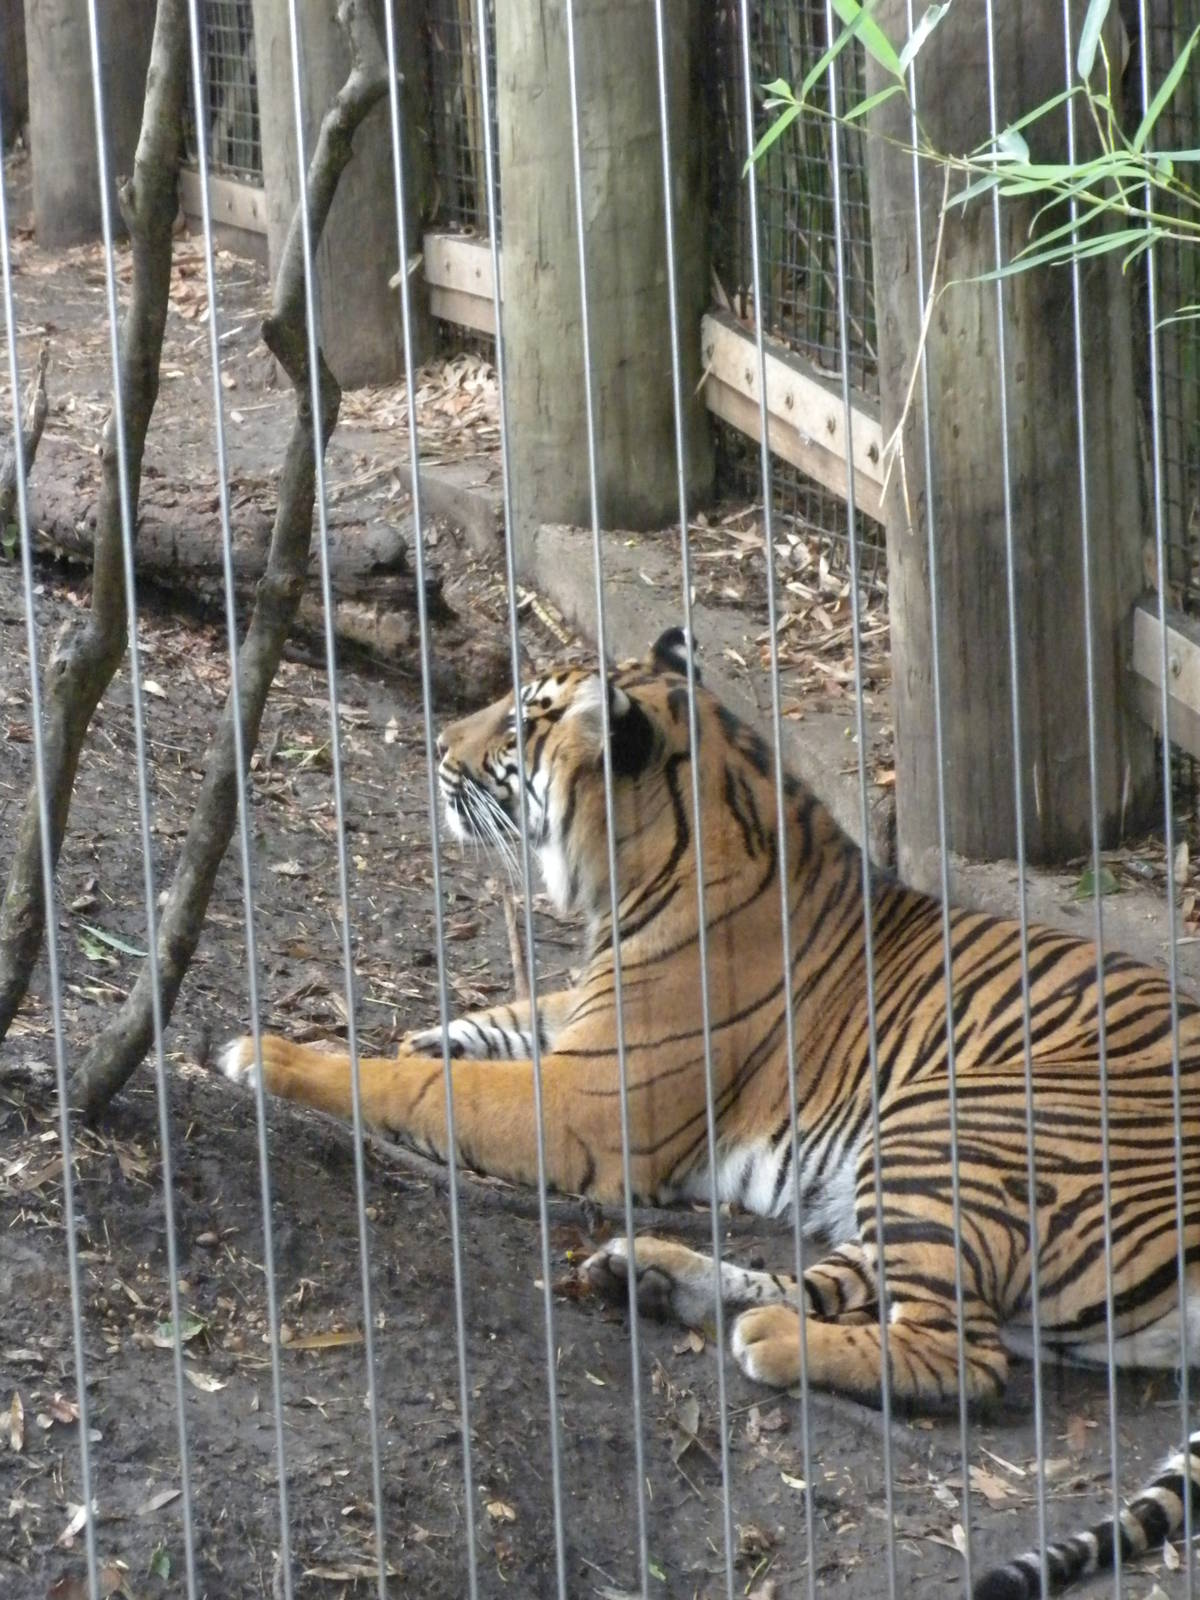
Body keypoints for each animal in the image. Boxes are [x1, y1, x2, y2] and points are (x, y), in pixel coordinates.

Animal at [220, 627, 1200, 1599]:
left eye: (521, 723)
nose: (436, 748)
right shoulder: (579, 1026)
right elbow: (501, 1021)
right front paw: (427, 1034)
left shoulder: (587, 1101)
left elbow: (423, 1088)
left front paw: (273, 1058)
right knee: (845, 1283)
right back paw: (654, 1277)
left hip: (949, 1118)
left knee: (963, 1351)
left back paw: (763, 1339)